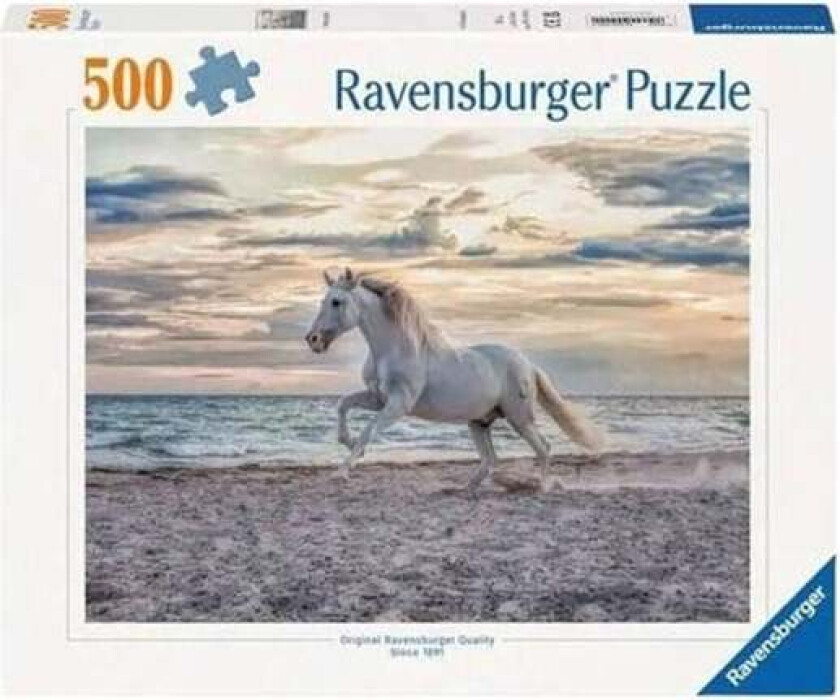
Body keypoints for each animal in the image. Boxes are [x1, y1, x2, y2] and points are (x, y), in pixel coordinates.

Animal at [305, 267, 604, 493]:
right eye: (322, 301)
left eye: (336, 301)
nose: (313, 340)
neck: (394, 349)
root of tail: (528, 365)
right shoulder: (378, 399)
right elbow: (343, 405)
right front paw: (346, 441)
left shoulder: (398, 404)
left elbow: (368, 430)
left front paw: (342, 472)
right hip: (479, 423)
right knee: (490, 459)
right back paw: (463, 488)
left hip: (519, 418)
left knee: (543, 447)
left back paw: (543, 487)